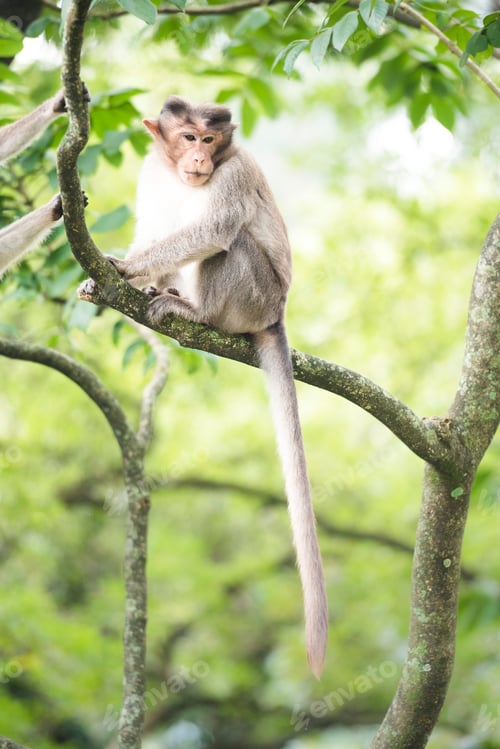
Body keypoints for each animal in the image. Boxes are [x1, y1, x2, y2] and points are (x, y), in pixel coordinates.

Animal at [107, 95, 328, 678]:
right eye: (187, 137)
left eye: (210, 141)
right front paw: (125, 271)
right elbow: (153, 225)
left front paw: (125, 267)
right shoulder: (151, 172)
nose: (200, 159)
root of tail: (277, 314)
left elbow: (214, 229)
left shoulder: (236, 172)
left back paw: (196, 311)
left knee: (230, 242)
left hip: (254, 296)